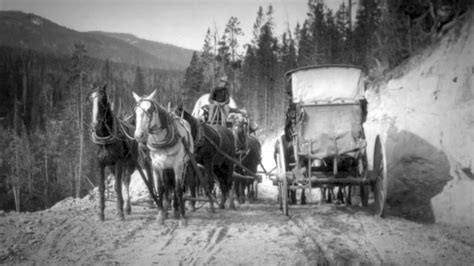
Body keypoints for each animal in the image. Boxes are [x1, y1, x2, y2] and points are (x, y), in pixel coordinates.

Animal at [90, 84, 137, 220]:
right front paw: (101, 214)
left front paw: (120, 213)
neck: (105, 141)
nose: (94, 124)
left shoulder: (119, 162)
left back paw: (126, 208)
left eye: (103, 99)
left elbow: (117, 186)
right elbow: (102, 187)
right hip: (112, 166)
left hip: (131, 163)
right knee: (122, 180)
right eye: (90, 99)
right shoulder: (100, 164)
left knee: (126, 180)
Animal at [131, 90, 193, 225]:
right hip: (166, 168)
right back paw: (167, 207)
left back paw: (176, 209)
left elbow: (178, 189)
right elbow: (160, 188)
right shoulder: (157, 166)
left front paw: (182, 217)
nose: (139, 135)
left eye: (149, 110)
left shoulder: (178, 165)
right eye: (135, 110)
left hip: (184, 165)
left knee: (177, 186)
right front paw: (161, 215)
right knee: (167, 186)